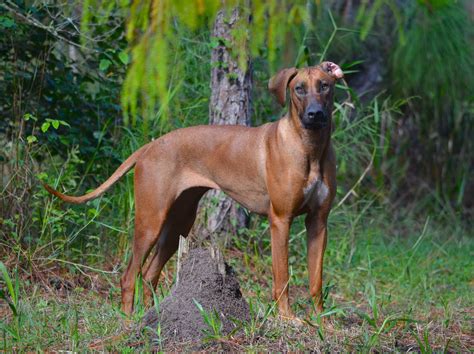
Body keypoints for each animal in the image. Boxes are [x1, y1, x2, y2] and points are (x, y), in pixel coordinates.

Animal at [45, 60, 344, 318]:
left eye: (324, 85)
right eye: (299, 89)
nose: (315, 114)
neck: (310, 148)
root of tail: (149, 147)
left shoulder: (318, 222)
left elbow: (316, 280)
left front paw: (321, 321)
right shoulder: (280, 220)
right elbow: (282, 277)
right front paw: (288, 318)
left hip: (178, 223)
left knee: (149, 275)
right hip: (150, 221)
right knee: (130, 275)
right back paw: (129, 320)